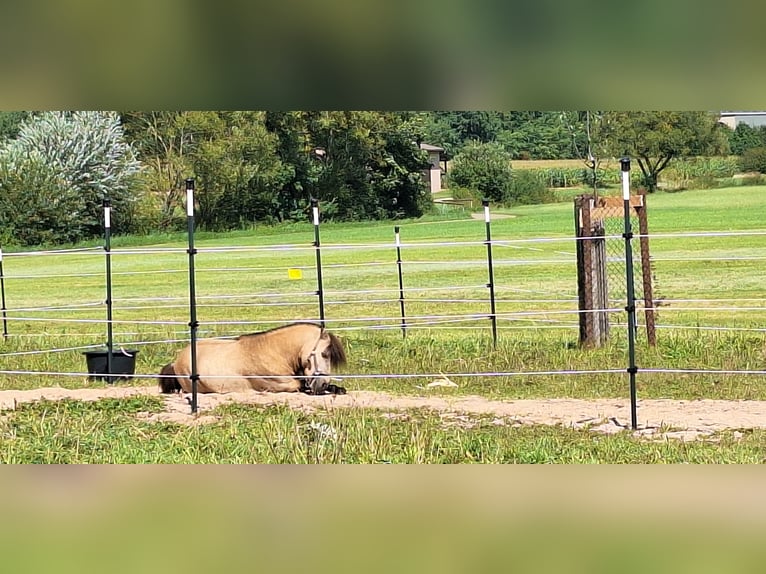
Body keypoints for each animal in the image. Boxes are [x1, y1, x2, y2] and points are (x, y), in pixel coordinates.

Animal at [159, 324, 348, 396]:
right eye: (324, 354)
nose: (322, 384)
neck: (273, 352)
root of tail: (176, 362)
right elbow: (299, 385)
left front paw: (337, 388)